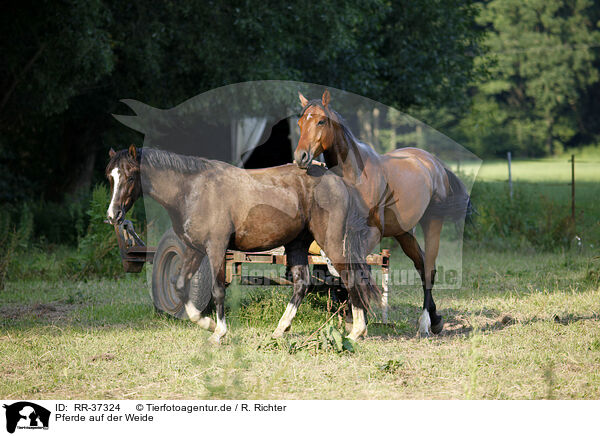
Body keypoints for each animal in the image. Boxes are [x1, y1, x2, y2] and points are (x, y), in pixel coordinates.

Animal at [106, 146, 380, 344]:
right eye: (111, 178)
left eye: (130, 176)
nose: (113, 215)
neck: (194, 189)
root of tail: (337, 181)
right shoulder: (195, 249)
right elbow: (180, 284)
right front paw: (207, 324)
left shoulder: (216, 248)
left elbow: (218, 290)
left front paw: (219, 332)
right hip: (297, 245)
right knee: (302, 283)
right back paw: (281, 329)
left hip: (331, 242)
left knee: (350, 277)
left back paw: (356, 332)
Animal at [292, 91, 472, 338]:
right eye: (300, 122)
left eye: (320, 121)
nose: (300, 157)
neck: (355, 175)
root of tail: (434, 163)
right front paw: (354, 318)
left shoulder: (371, 233)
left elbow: (356, 267)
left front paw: (358, 321)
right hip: (404, 234)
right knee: (421, 264)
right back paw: (435, 319)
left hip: (432, 223)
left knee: (429, 269)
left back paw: (425, 322)